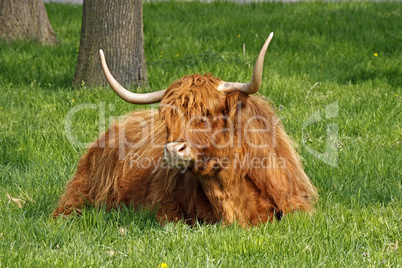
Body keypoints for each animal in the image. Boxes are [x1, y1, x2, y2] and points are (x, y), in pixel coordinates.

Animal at [53, 33, 318, 226]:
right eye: (167, 117)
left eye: (207, 114)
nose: (173, 150)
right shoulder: (164, 208)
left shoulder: (299, 205)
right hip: (80, 193)